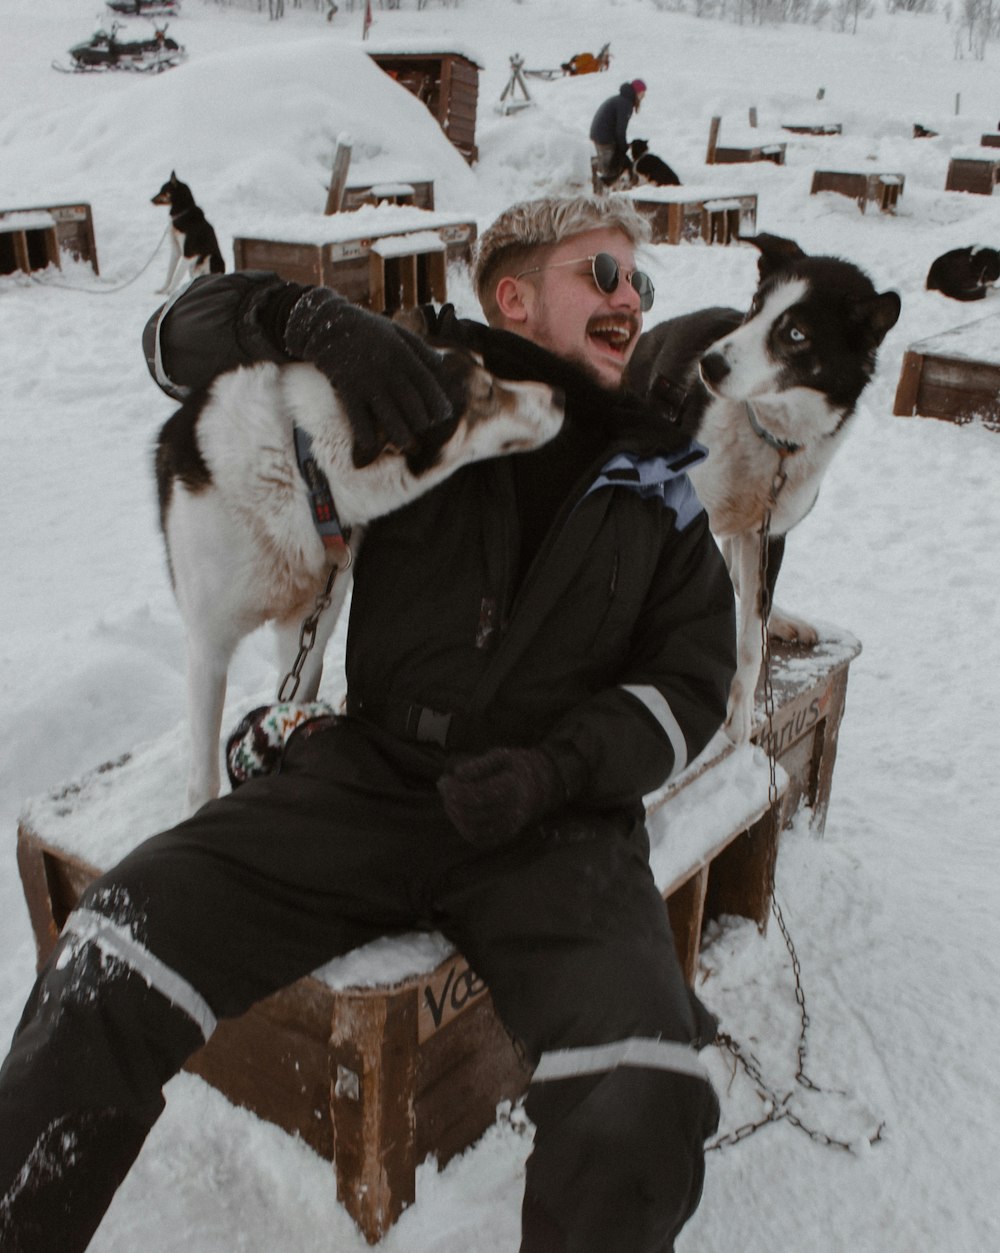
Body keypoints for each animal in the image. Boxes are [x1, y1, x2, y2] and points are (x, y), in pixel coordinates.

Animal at [155, 348, 563, 811]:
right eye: (488, 393)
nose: (559, 394)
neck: (302, 470)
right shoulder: (209, 646)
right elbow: (203, 778)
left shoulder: (305, 630)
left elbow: (291, 703)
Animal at [626, 234, 902, 736]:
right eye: (755, 307)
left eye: (795, 334)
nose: (709, 364)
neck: (771, 439)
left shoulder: (769, 532)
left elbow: (751, 633)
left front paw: (738, 707)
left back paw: (782, 617)